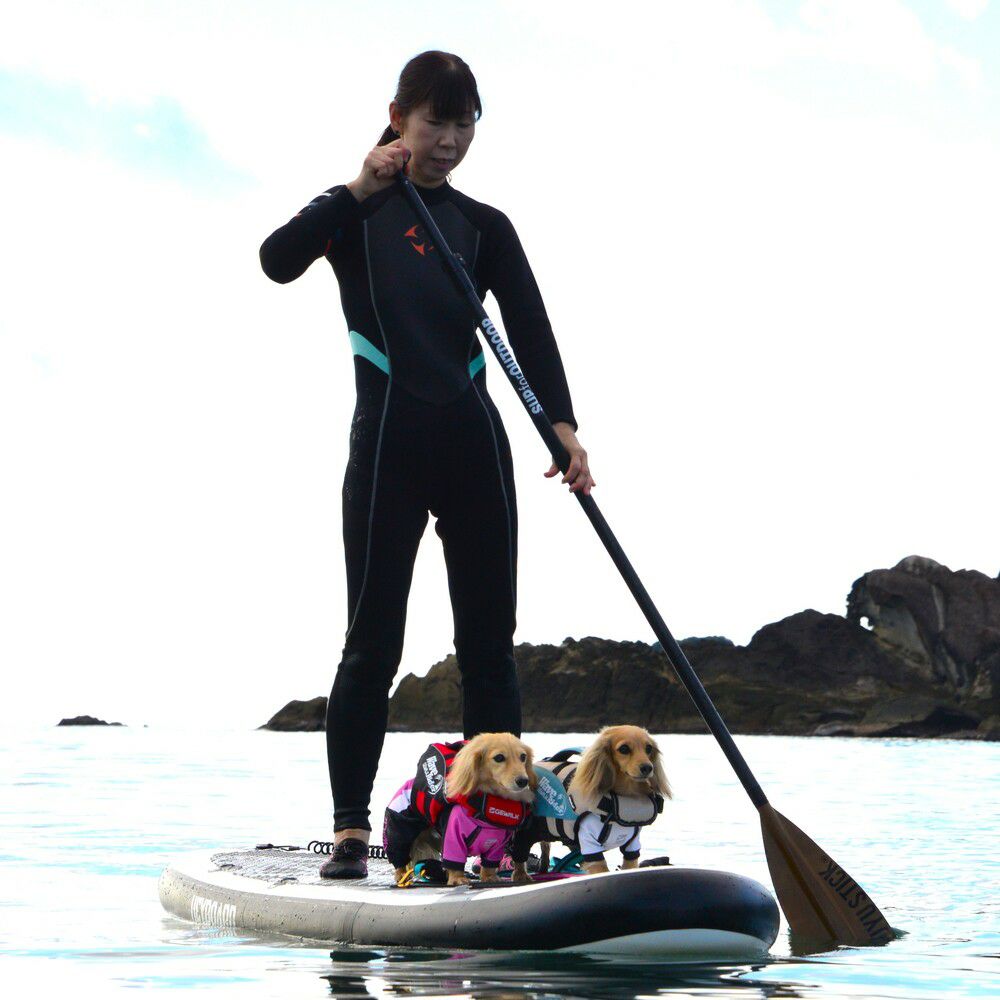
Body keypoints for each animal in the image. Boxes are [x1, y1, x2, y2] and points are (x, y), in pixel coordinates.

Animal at [383, 732, 537, 886]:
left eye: (523, 757)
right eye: (499, 757)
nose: (523, 781)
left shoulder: (498, 843)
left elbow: (489, 864)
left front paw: (490, 877)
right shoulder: (453, 835)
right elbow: (454, 859)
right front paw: (458, 879)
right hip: (399, 830)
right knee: (399, 855)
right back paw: (402, 875)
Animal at [510, 725, 670, 882]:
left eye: (648, 748)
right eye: (624, 749)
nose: (648, 767)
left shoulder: (631, 845)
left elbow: (629, 865)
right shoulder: (590, 844)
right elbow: (602, 869)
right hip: (530, 830)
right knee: (520, 852)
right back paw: (521, 875)